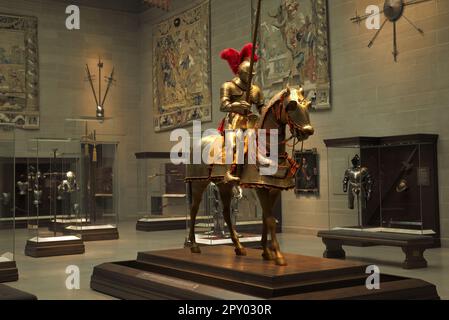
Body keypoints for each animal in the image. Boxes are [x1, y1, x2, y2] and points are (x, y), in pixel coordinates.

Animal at [184, 86, 314, 266]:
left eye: (308, 104)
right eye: (292, 106)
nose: (307, 131)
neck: (267, 149)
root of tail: (196, 142)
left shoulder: (273, 189)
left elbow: (266, 219)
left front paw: (266, 252)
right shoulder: (260, 189)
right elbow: (270, 220)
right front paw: (278, 255)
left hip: (224, 185)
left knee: (226, 213)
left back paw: (238, 247)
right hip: (199, 183)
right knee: (194, 209)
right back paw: (194, 245)